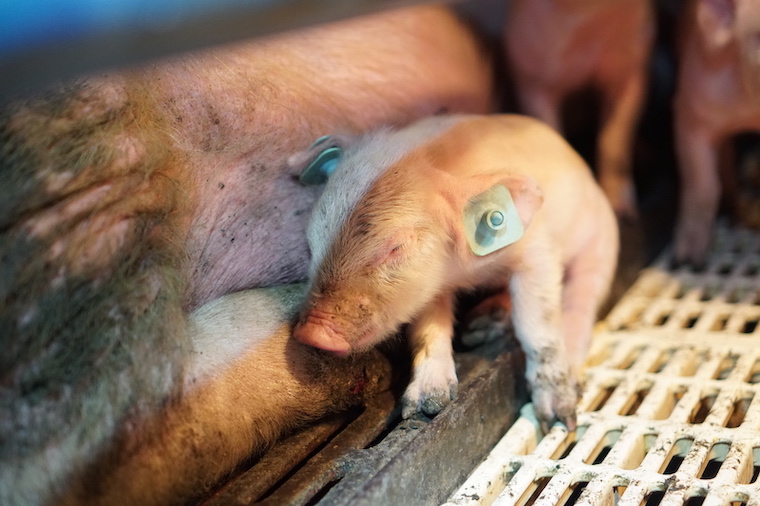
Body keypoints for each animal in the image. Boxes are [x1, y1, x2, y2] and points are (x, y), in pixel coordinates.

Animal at [292, 114, 619, 431]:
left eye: (396, 247)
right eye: (312, 244)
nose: (310, 333)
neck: (466, 273)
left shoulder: (538, 249)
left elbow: (537, 325)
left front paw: (556, 419)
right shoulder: (429, 287)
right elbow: (427, 331)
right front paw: (426, 407)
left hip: (602, 242)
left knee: (582, 299)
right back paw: (479, 326)